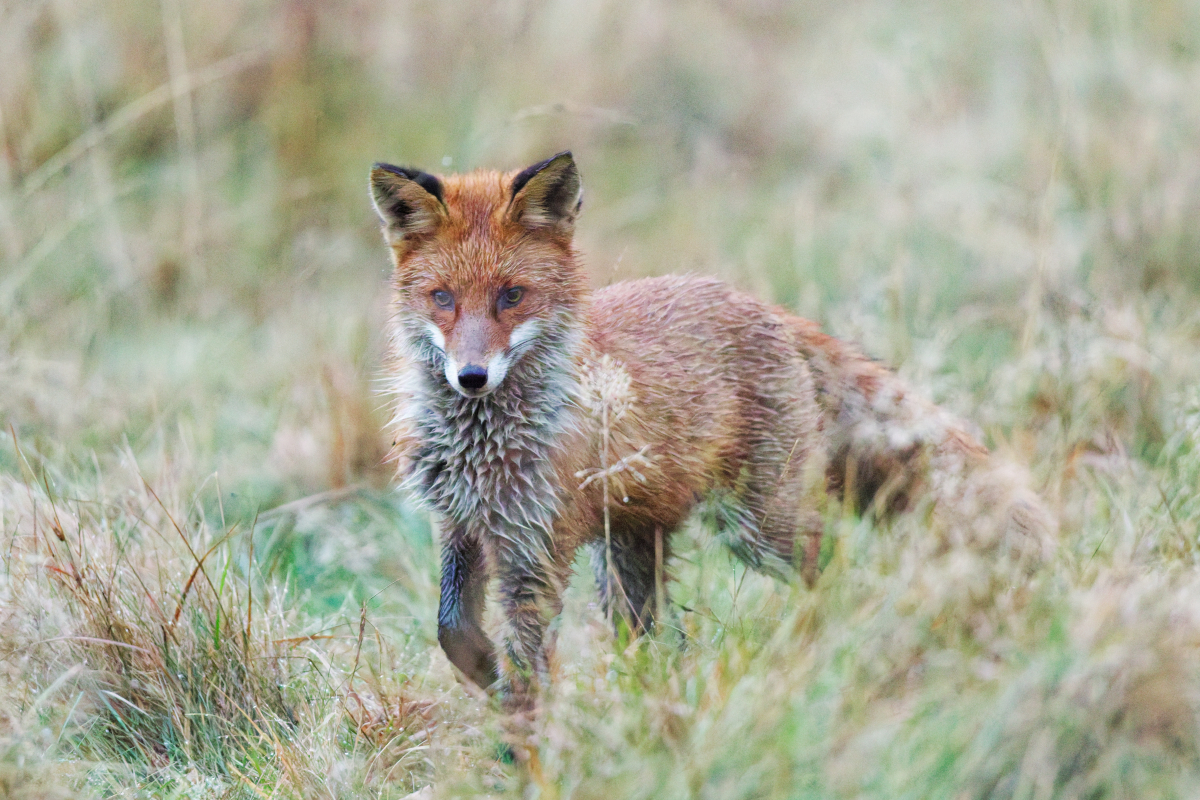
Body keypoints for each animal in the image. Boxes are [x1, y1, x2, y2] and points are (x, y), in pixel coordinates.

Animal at [368, 151, 1055, 710]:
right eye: (442, 298)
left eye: (512, 296)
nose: (472, 377)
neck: (482, 446)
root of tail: (762, 306)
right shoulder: (462, 523)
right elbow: (452, 631)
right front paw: (486, 681)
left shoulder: (537, 543)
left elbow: (526, 663)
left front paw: (524, 744)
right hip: (629, 553)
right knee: (654, 637)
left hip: (757, 526)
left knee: (834, 568)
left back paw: (824, 647)